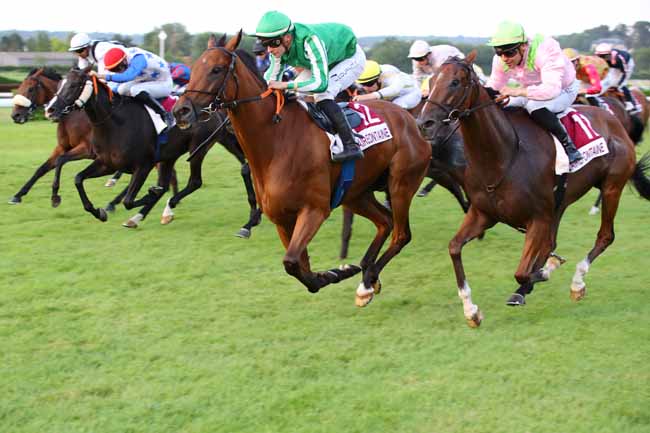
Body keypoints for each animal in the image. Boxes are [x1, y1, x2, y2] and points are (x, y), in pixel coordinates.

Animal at [172, 33, 430, 304]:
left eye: (216, 69)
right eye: (194, 69)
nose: (180, 110)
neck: (277, 141)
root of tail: (412, 121)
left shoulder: (314, 210)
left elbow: (292, 262)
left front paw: (335, 273)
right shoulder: (282, 218)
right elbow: (299, 265)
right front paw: (337, 272)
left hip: (401, 185)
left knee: (401, 234)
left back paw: (368, 280)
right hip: (356, 194)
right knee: (385, 222)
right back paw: (367, 274)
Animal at [416, 52, 648, 326]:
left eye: (455, 82)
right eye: (431, 82)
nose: (424, 123)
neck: (503, 155)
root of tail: (617, 122)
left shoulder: (537, 218)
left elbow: (522, 271)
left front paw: (547, 271)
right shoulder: (483, 214)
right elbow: (454, 248)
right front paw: (471, 310)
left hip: (612, 186)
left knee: (605, 236)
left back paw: (577, 282)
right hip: (560, 202)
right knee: (553, 241)